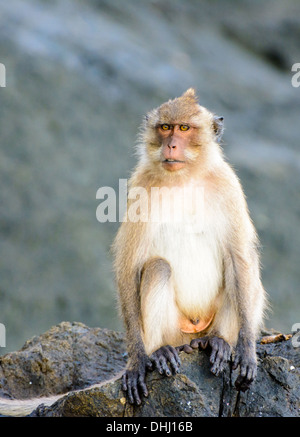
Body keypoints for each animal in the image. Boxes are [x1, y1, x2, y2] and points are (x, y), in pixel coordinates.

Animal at [113, 88, 268, 406]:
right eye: (165, 127)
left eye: (184, 128)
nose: (171, 144)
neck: (185, 178)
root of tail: (192, 332)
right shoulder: (140, 186)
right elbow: (128, 268)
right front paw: (137, 360)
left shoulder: (228, 185)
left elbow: (239, 259)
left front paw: (247, 349)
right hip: (174, 330)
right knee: (158, 267)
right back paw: (160, 351)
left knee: (240, 270)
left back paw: (218, 341)